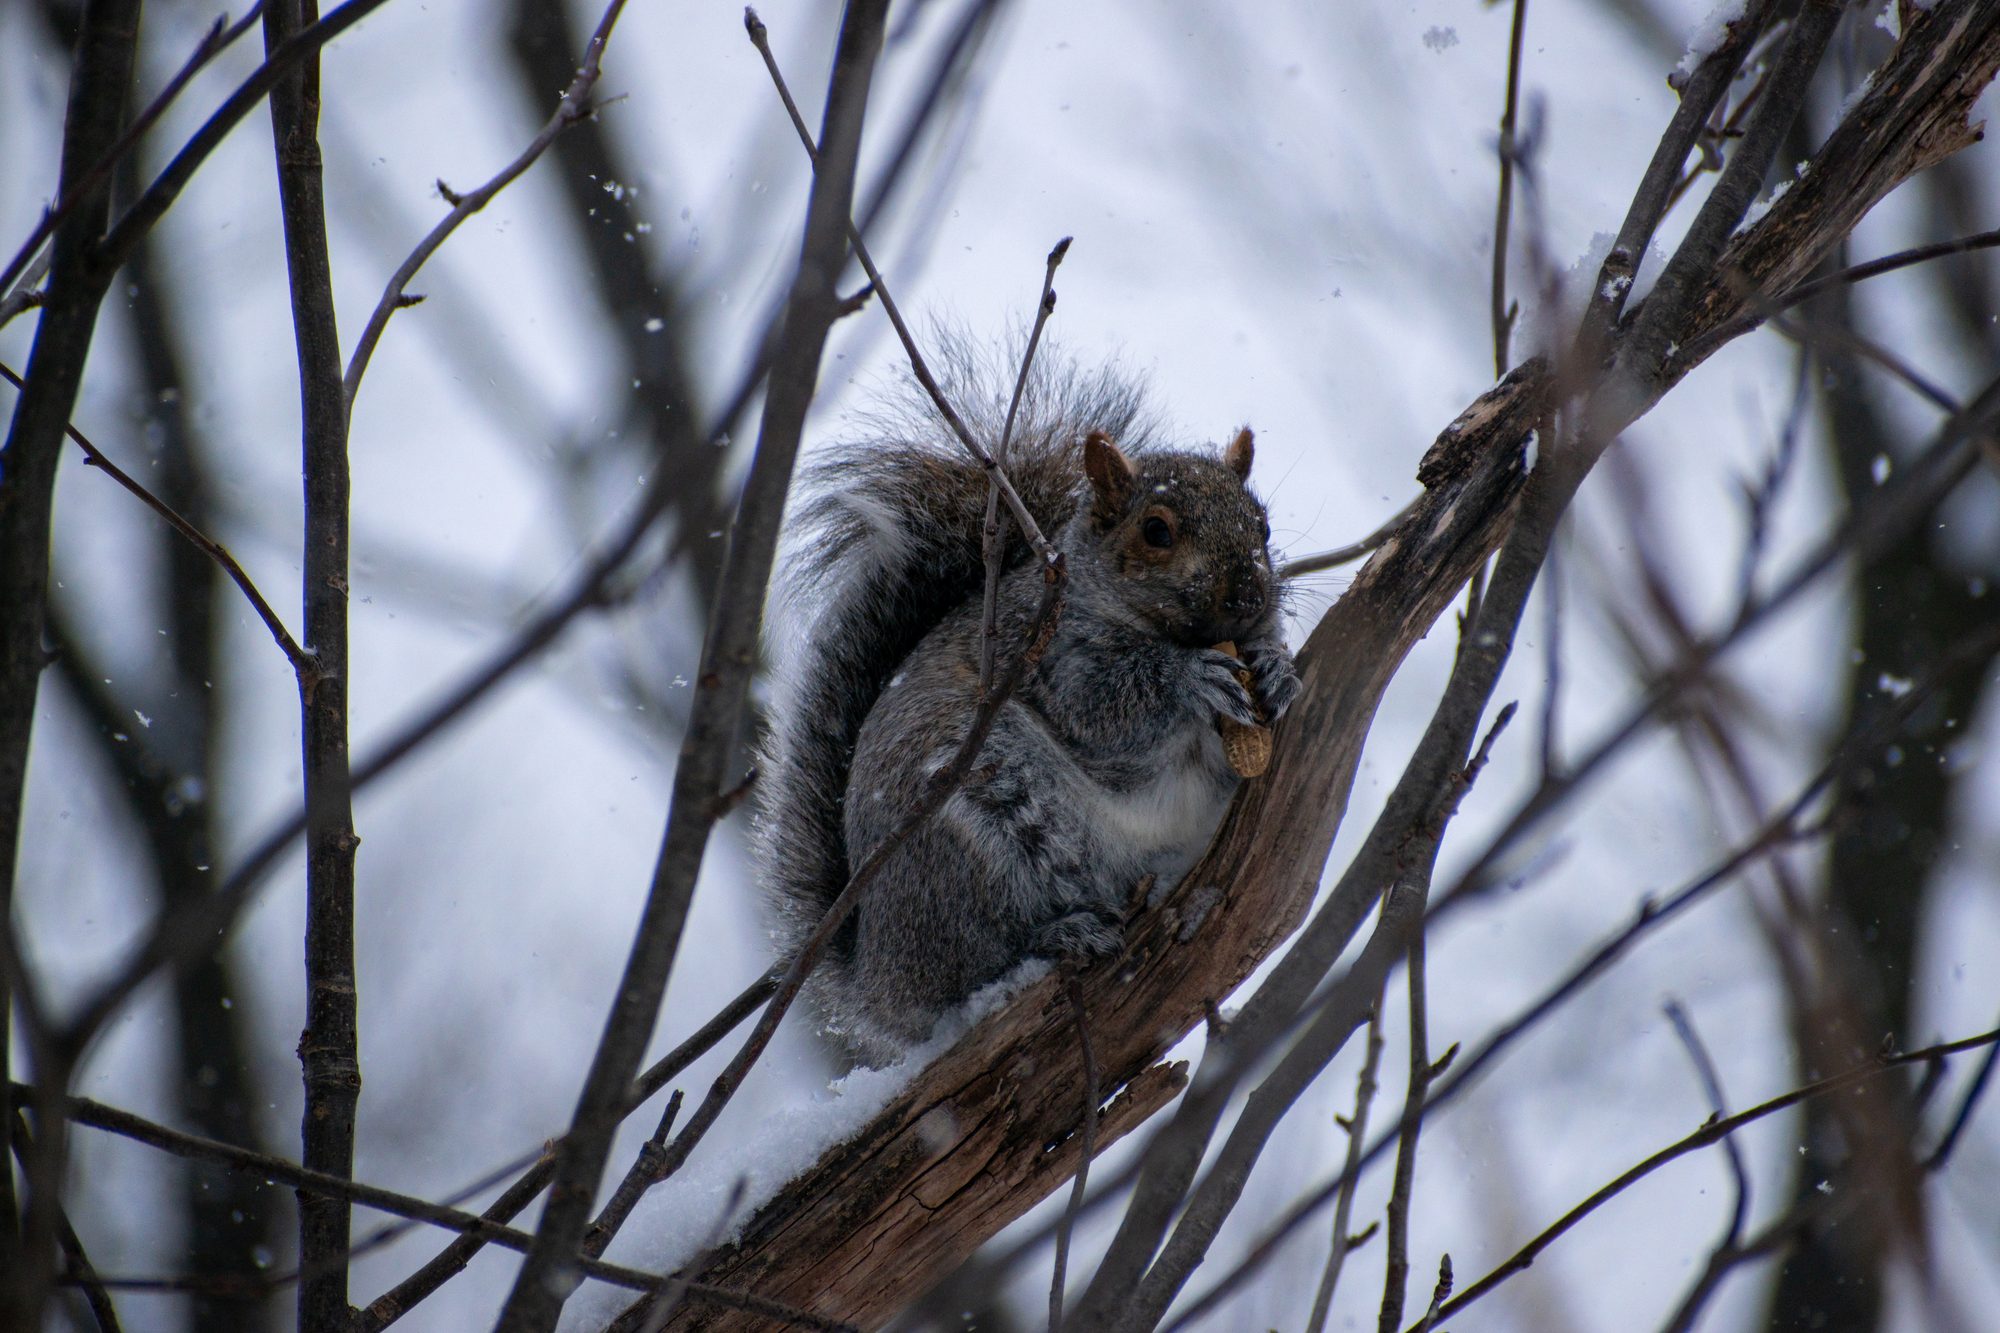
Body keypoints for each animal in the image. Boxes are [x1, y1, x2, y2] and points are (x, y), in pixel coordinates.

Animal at [758, 352, 1299, 1064]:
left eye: (1262, 524)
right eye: (1155, 531)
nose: (1245, 596)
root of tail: (875, 978)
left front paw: (1278, 667)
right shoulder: (1043, 652)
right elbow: (1105, 709)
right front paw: (1189, 678)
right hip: (970, 831)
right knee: (970, 972)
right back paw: (1058, 937)